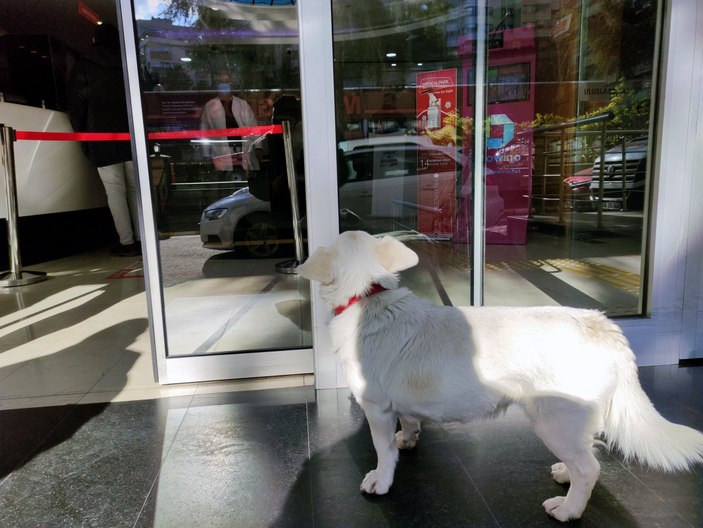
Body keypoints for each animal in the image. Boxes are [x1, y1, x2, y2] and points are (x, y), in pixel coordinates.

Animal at [296, 230, 703, 520]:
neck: (368, 296)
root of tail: (603, 325)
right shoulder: (401, 405)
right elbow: (410, 423)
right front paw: (408, 440)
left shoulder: (376, 408)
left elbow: (382, 450)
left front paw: (381, 479)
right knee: (587, 455)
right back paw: (566, 475)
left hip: (553, 419)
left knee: (590, 469)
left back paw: (568, 509)